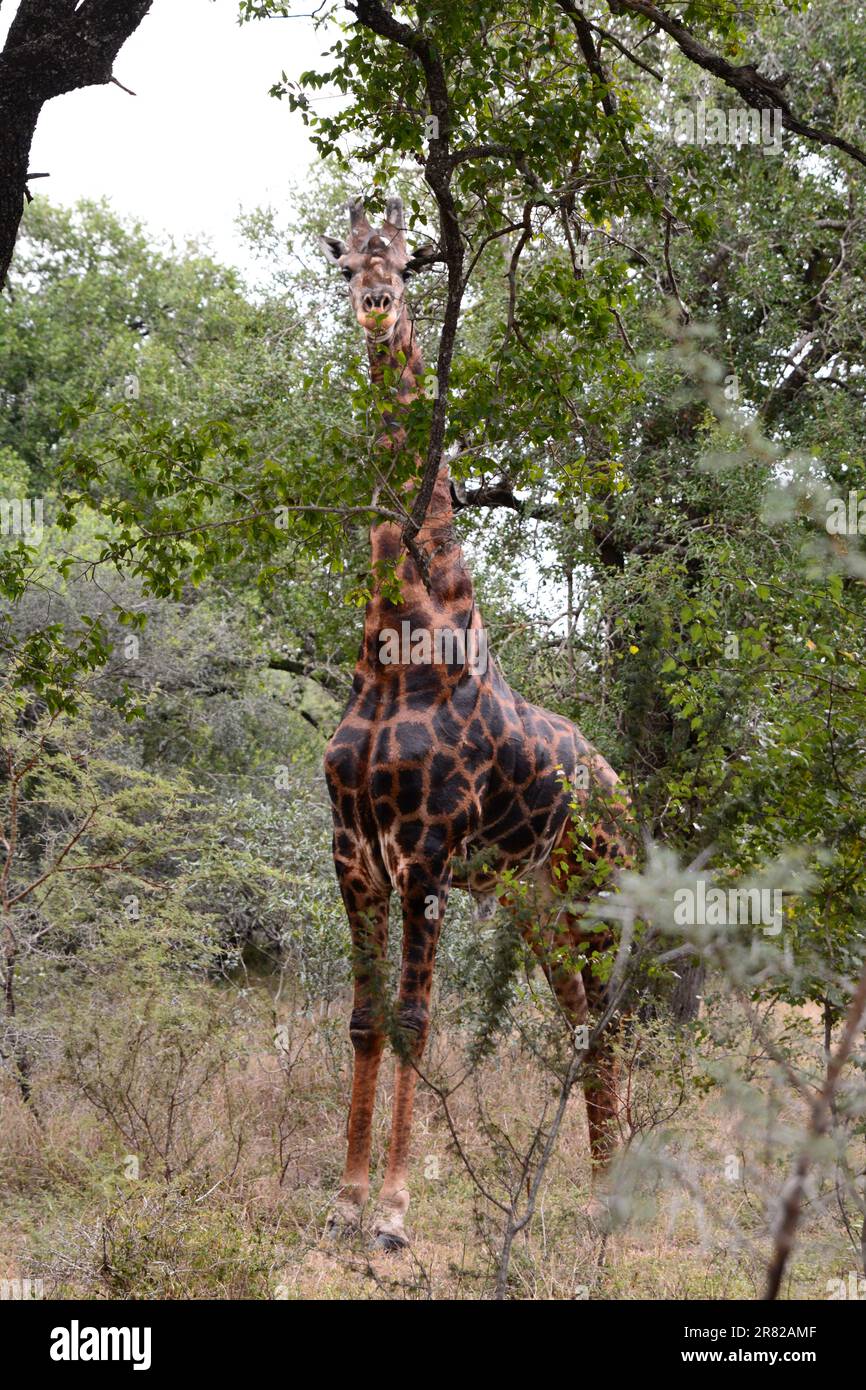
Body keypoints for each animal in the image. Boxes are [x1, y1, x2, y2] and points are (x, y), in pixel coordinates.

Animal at [322, 195, 633, 1251]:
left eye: (407, 258)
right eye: (346, 263)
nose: (377, 307)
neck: (398, 653)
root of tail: (625, 794)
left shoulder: (424, 856)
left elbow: (416, 1023)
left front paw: (393, 1216)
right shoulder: (352, 854)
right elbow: (366, 1021)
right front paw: (342, 1205)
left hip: (597, 896)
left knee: (609, 1024)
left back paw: (616, 1208)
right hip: (537, 904)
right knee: (581, 1025)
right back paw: (593, 1201)